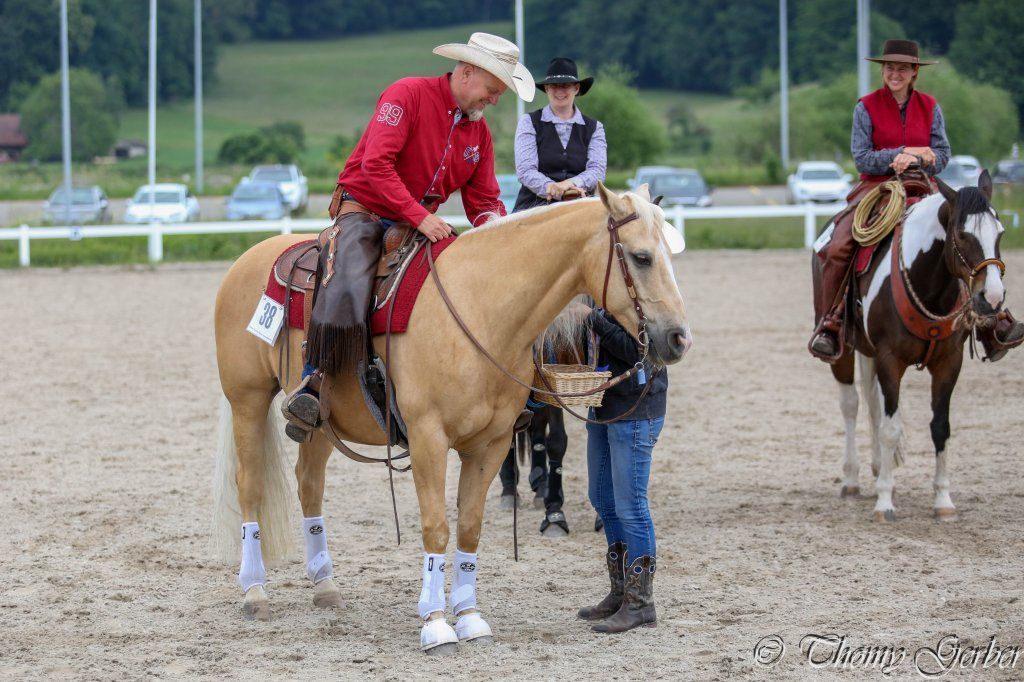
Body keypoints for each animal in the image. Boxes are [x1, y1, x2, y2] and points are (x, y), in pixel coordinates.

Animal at [211, 183, 691, 653]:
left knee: (309, 486)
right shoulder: (429, 439)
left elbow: (470, 528)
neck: (479, 308)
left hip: (321, 428)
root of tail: (251, 257)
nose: (678, 337)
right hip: (248, 399)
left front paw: (470, 616)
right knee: (249, 485)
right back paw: (254, 591)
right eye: (641, 257)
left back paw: (325, 586)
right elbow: (437, 528)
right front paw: (436, 624)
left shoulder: (491, 444)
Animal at [814, 171, 1009, 522]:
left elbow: (940, 427)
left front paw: (943, 501)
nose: (993, 297)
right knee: (851, 405)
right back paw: (852, 479)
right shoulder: (890, 360)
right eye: (962, 234)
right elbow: (890, 428)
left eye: (999, 232)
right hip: (844, 351)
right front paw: (884, 503)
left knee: (873, 407)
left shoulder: (949, 362)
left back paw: (879, 468)